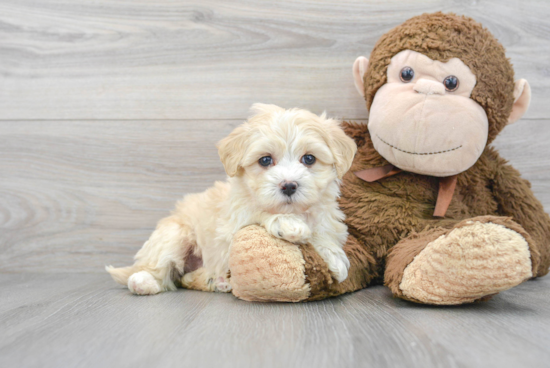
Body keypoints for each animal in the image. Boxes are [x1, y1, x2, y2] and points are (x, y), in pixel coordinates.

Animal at [107, 104, 358, 296]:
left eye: (309, 159)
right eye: (265, 160)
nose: (288, 185)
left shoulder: (326, 215)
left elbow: (324, 230)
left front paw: (333, 257)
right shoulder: (233, 223)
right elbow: (258, 211)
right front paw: (288, 224)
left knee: (186, 278)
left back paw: (218, 281)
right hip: (174, 235)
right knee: (160, 270)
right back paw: (143, 282)